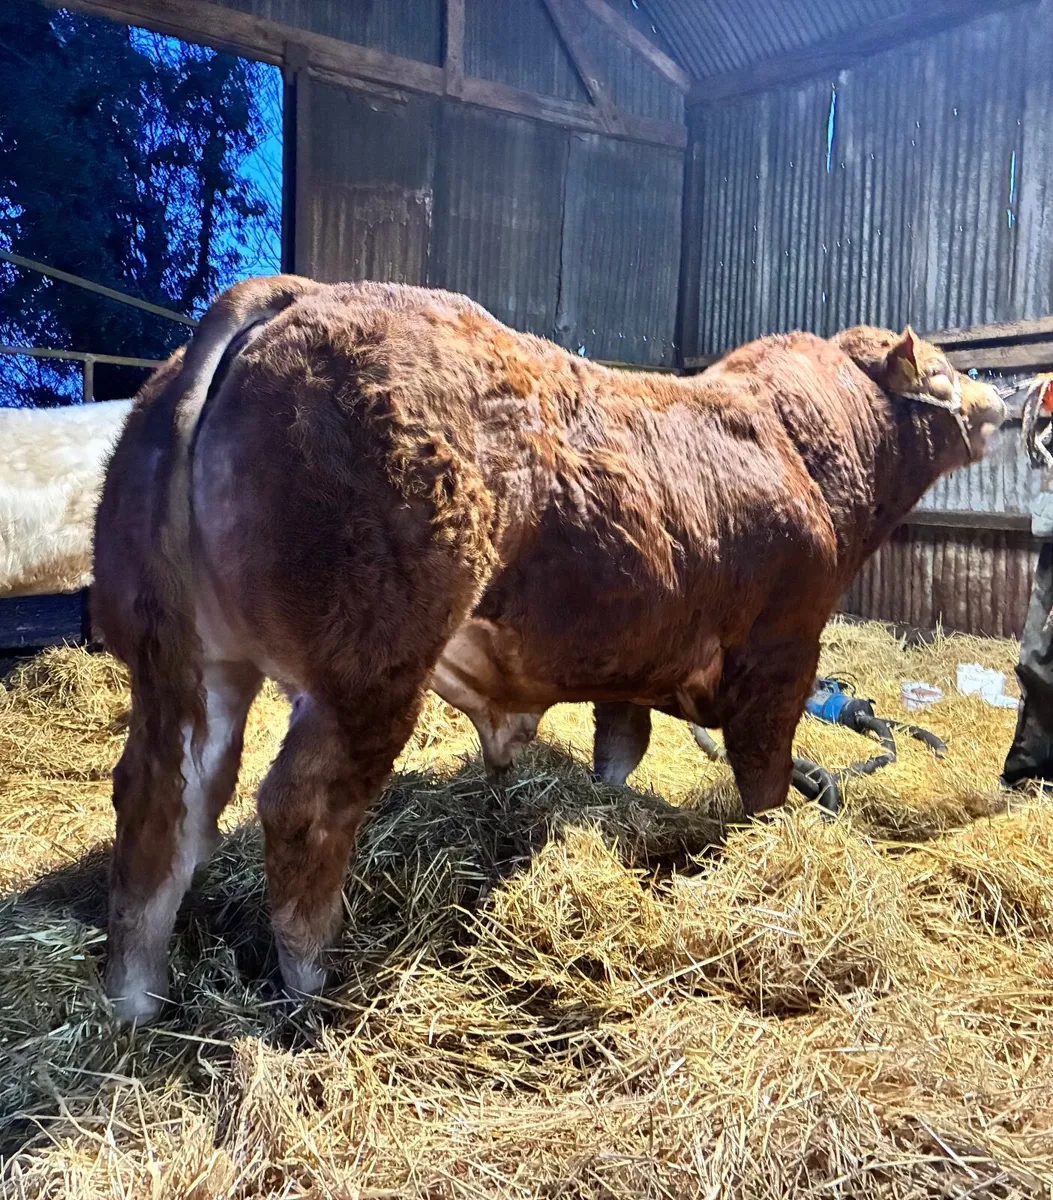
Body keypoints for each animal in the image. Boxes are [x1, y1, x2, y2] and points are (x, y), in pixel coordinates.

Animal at [92, 275, 1005, 1023]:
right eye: (942, 369)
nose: (1000, 395)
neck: (805, 448)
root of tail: (289, 294)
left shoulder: (634, 662)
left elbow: (620, 749)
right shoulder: (781, 651)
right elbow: (763, 775)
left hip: (183, 658)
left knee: (165, 798)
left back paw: (135, 996)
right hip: (366, 667)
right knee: (300, 807)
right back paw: (313, 981)